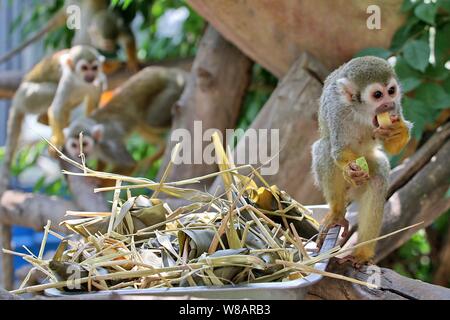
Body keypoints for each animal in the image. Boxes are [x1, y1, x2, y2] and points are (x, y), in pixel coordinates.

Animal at [312, 56, 412, 266]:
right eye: (377, 95)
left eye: (391, 91)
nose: (388, 105)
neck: (362, 112)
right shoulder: (336, 108)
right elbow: (338, 150)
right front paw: (351, 171)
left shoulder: (397, 107)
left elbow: (392, 148)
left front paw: (398, 132)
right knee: (325, 148)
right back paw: (337, 213)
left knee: (378, 177)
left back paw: (361, 254)